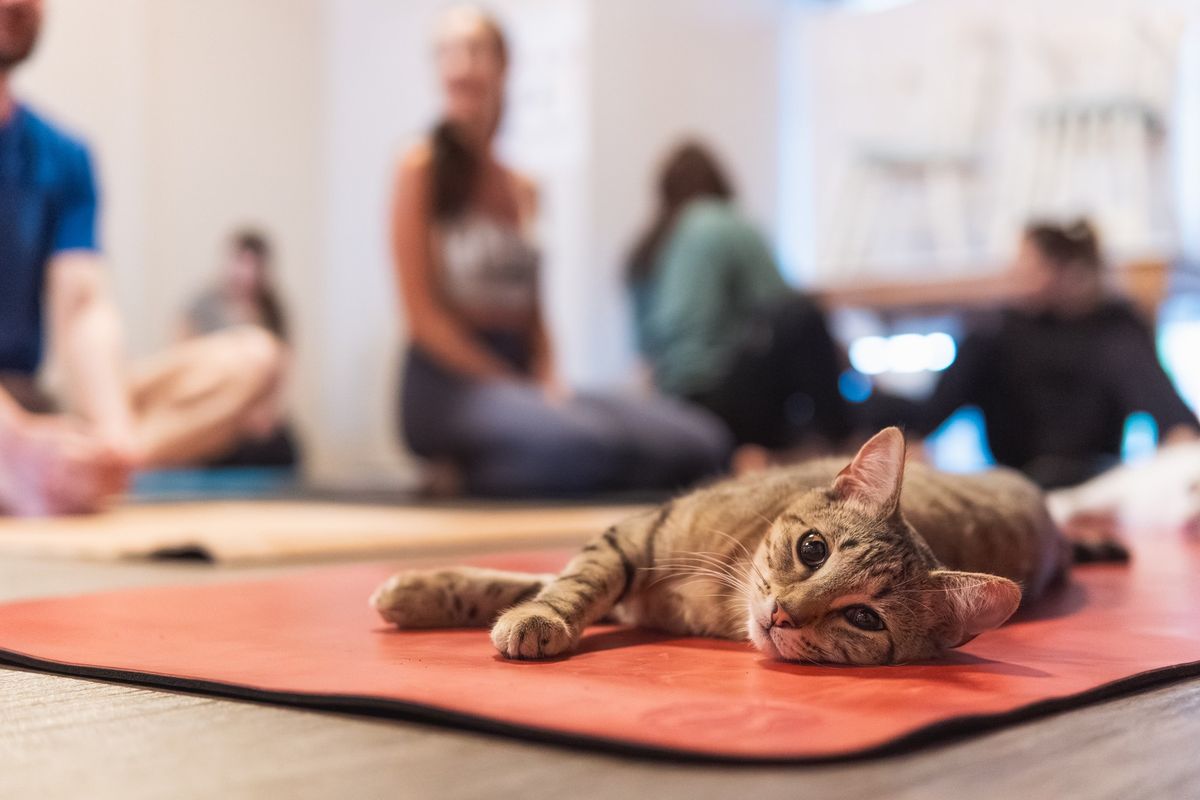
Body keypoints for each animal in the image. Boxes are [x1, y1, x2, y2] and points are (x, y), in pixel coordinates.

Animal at [376, 429, 1089, 666]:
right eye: (812, 549)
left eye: (864, 617)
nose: (782, 613)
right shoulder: (635, 536)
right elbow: (564, 580)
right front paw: (422, 590)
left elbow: (558, 582)